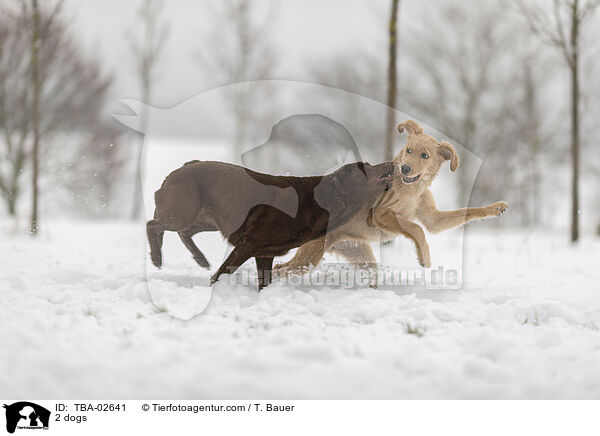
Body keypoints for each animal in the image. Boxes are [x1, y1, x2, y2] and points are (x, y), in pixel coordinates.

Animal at [148, 160, 396, 290]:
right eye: (367, 167)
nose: (392, 163)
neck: (323, 199)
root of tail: (182, 167)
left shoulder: (264, 253)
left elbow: (265, 282)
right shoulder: (248, 243)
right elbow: (223, 272)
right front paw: (215, 287)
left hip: (203, 218)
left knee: (184, 233)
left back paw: (200, 259)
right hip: (183, 211)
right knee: (153, 224)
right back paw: (156, 258)